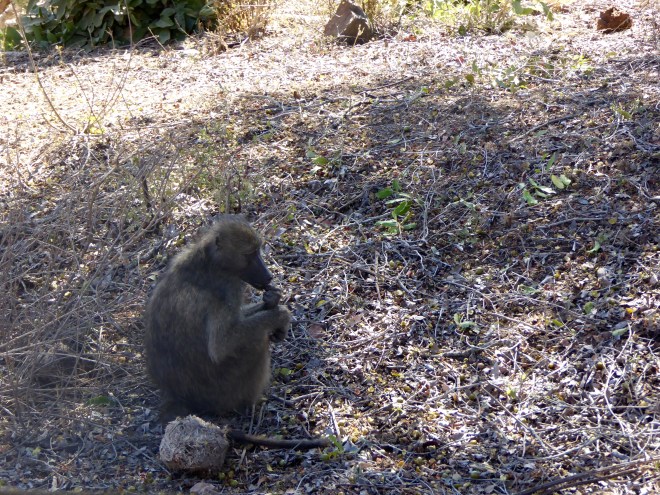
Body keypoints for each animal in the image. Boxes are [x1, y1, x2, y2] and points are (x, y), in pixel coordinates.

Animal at [144, 215, 292, 424]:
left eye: (258, 251)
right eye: (250, 254)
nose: (268, 276)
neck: (210, 260)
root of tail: (180, 399)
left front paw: (273, 300)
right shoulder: (229, 286)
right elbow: (222, 345)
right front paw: (281, 316)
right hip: (225, 392)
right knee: (256, 343)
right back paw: (250, 405)